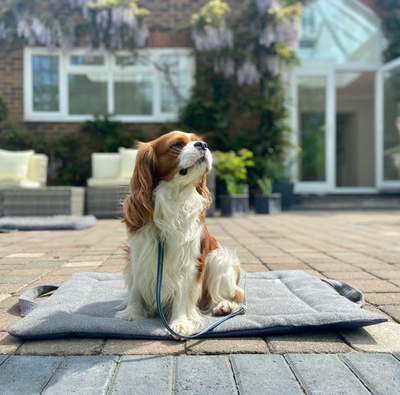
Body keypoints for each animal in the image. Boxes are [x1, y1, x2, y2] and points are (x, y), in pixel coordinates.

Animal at [115, 131, 244, 338]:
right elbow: (135, 288)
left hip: (217, 258)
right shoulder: (138, 254)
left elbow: (182, 293)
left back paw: (226, 306)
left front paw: (179, 323)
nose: (203, 145)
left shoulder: (187, 262)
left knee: (237, 294)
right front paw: (132, 313)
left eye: (199, 141)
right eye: (176, 144)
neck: (173, 197)